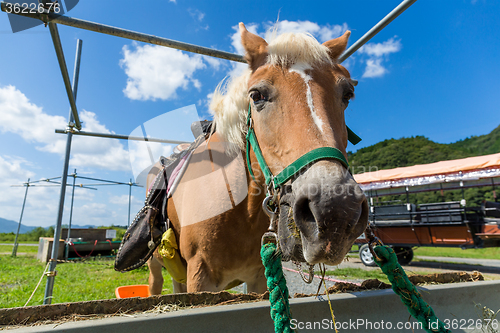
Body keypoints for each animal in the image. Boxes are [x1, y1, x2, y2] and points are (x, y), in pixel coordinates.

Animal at [145, 22, 368, 294]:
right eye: (256, 95)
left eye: (347, 94)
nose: (335, 210)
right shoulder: (199, 276)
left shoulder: (259, 278)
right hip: (156, 269)